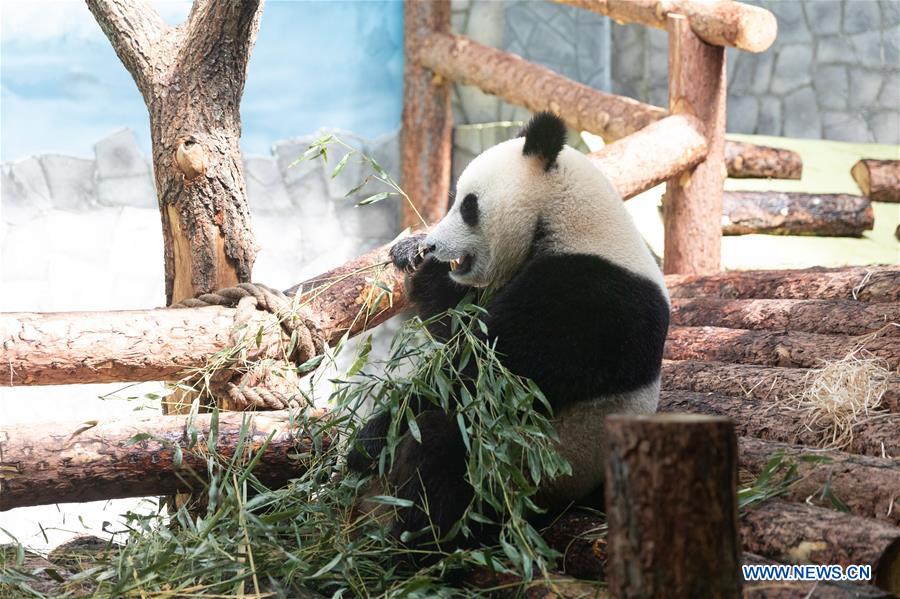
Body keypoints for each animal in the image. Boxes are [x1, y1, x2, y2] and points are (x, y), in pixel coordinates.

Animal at [347, 112, 670, 550]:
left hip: (533, 466)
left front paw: (370, 439)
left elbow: (484, 371)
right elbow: (457, 323)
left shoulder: (587, 298)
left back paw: (418, 539)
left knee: (448, 448)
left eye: (468, 206)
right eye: (452, 198)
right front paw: (410, 254)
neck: (570, 218)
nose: (435, 246)